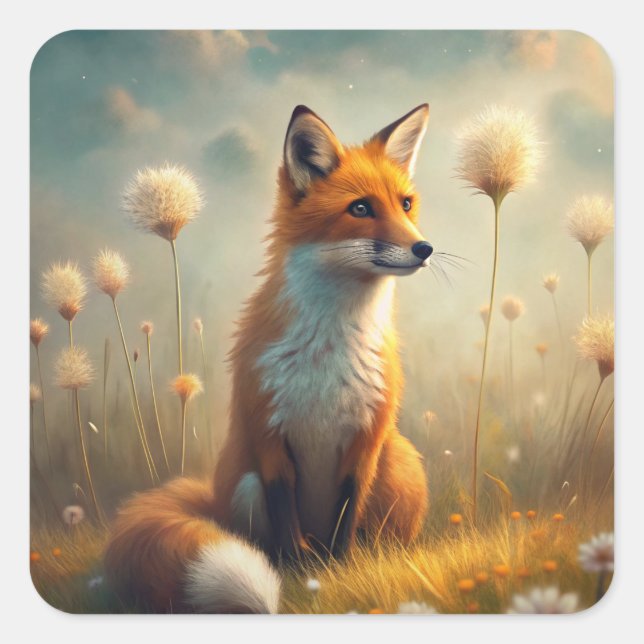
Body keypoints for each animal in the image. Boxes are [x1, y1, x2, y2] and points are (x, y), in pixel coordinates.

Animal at [104, 103, 433, 613]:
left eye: (406, 204)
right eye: (360, 208)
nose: (424, 248)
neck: (328, 352)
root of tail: (210, 498)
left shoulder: (365, 438)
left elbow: (346, 515)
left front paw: (341, 570)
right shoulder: (268, 433)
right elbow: (284, 513)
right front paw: (298, 574)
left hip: (397, 463)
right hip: (244, 484)